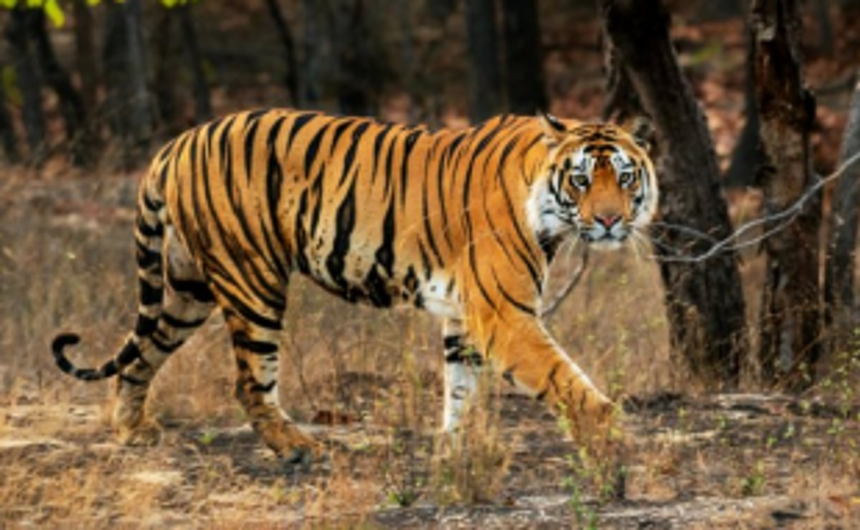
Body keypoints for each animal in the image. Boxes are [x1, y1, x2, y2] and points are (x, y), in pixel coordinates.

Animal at [52, 109, 658, 464]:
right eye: (581, 179)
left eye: (625, 177)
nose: (608, 221)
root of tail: (176, 143)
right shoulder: (503, 314)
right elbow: (564, 379)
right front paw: (610, 437)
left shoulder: (466, 314)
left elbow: (460, 388)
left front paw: (454, 449)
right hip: (252, 281)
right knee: (249, 383)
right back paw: (298, 448)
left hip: (185, 287)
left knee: (139, 357)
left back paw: (132, 430)